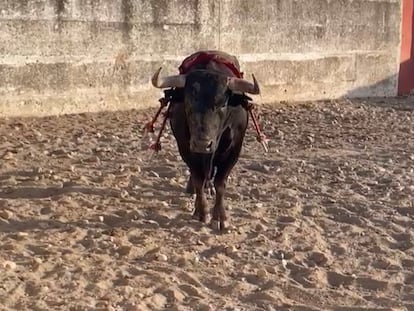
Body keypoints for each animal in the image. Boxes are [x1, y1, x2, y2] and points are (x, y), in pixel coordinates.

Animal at [150, 58, 260, 230]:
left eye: (222, 104)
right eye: (188, 102)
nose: (202, 144)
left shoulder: (234, 150)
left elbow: (220, 183)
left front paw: (221, 217)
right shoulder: (185, 148)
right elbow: (198, 178)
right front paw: (202, 212)